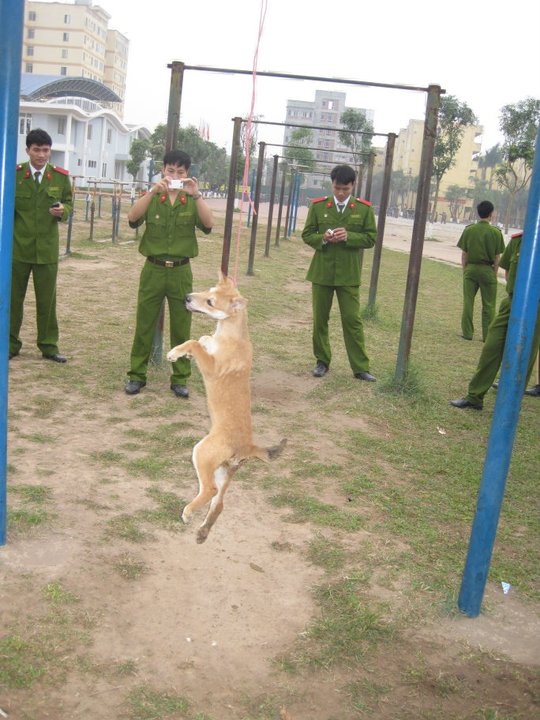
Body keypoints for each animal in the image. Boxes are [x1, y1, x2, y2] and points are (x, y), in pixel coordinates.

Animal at [167, 273, 286, 543]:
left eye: (210, 301)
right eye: (208, 290)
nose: (187, 297)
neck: (231, 335)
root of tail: (248, 447)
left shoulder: (211, 368)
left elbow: (194, 342)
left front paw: (176, 352)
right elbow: (202, 339)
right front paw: (183, 352)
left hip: (203, 454)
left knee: (209, 490)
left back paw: (188, 513)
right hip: (224, 470)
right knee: (218, 503)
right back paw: (202, 531)